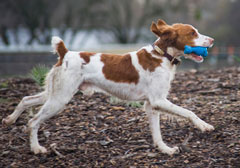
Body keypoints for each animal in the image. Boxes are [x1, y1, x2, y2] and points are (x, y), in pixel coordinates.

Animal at [2, 19, 215, 155]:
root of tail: (65, 53)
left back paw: (10, 120)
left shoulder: (151, 105)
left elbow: (157, 133)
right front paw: (204, 125)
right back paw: (36, 148)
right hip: (59, 99)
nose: (212, 40)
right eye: (192, 33)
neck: (161, 55)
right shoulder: (158, 100)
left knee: (25, 99)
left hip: (53, 94)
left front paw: (165, 150)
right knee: (33, 121)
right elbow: (189, 112)